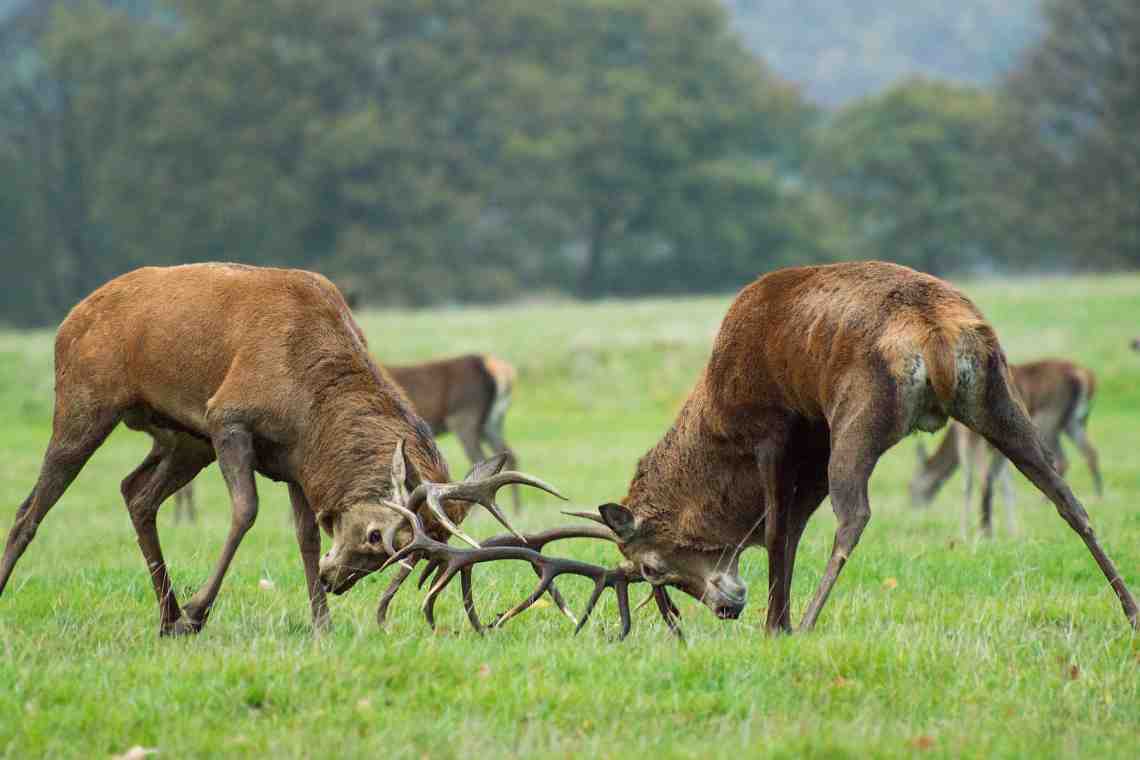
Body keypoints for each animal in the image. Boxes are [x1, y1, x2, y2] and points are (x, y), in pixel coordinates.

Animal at [907, 360, 1103, 537]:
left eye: (912, 485)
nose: (913, 506)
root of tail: (1084, 377)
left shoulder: (965, 437)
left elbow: (970, 481)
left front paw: (964, 533)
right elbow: (1006, 485)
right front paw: (1012, 532)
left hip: (1049, 419)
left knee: (1061, 460)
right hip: (1073, 422)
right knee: (1089, 453)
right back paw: (1097, 496)